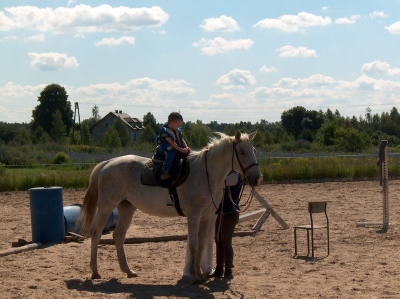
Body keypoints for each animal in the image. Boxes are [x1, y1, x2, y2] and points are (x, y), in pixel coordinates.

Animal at [76, 131, 262, 284]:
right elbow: (193, 244)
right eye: (242, 152)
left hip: (127, 208)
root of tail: (108, 163)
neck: (206, 174)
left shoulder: (207, 217)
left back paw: (128, 271)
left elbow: (201, 245)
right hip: (106, 207)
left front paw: (200, 274)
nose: (257, 179)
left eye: (254, 151)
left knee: (118, 236)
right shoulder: (194, 216)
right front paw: (194, 277)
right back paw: (95, 272)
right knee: (96, 235)